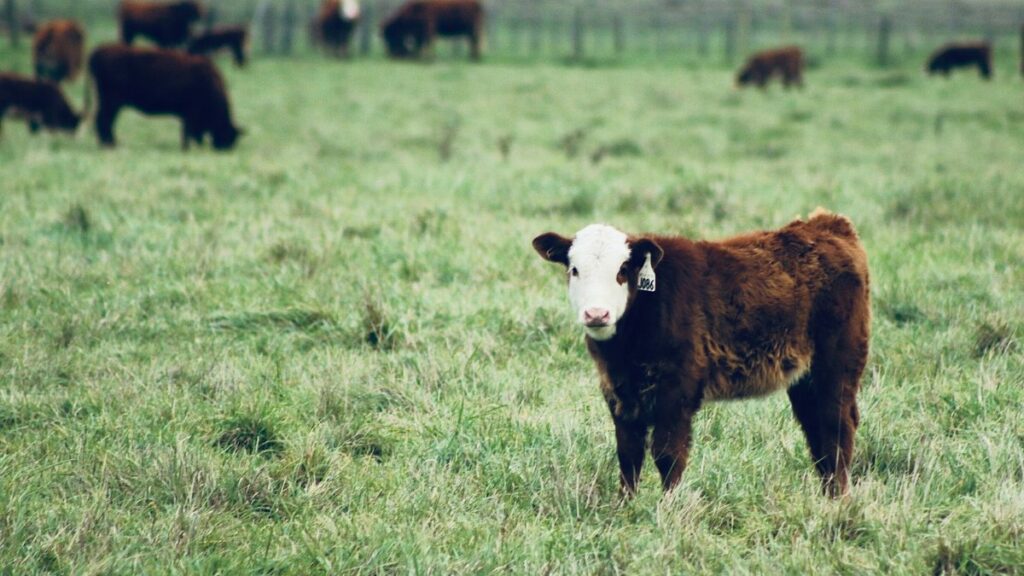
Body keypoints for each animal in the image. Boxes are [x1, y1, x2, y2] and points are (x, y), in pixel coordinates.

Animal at [88, 44, 242, 150]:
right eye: (227, 133)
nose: (223, 148)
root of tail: (98, 52)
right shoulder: (191, 114)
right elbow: (189, 131)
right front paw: (186, 147)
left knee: (103, 121)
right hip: (112, 102)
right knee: (104, 120)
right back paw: (111, 145)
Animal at [532, 209, 870, 498]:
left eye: (623, 270)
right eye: (574, 270)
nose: (596, 313)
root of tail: (827, 225)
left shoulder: (678, 388)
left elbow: (668, 453)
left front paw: (667, 507)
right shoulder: (618, 391)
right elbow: (628, 453)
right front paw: (625, 505)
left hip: (837, 366)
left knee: (837, 427)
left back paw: (839, 499)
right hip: (805, 379)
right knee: (816, 431)